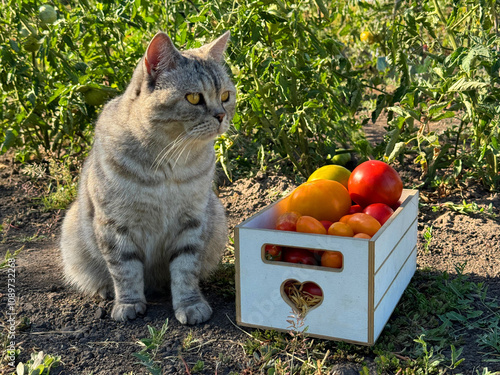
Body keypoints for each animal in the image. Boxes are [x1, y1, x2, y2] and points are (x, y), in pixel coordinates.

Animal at [59, 30, 235, 324]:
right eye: (194, 98)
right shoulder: (114, 225)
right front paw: (128, 304)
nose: (221, 116)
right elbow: (125, 270)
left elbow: (186, 270)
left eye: (225, 95)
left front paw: (190, 305)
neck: (170, 163)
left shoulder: (193, 220)